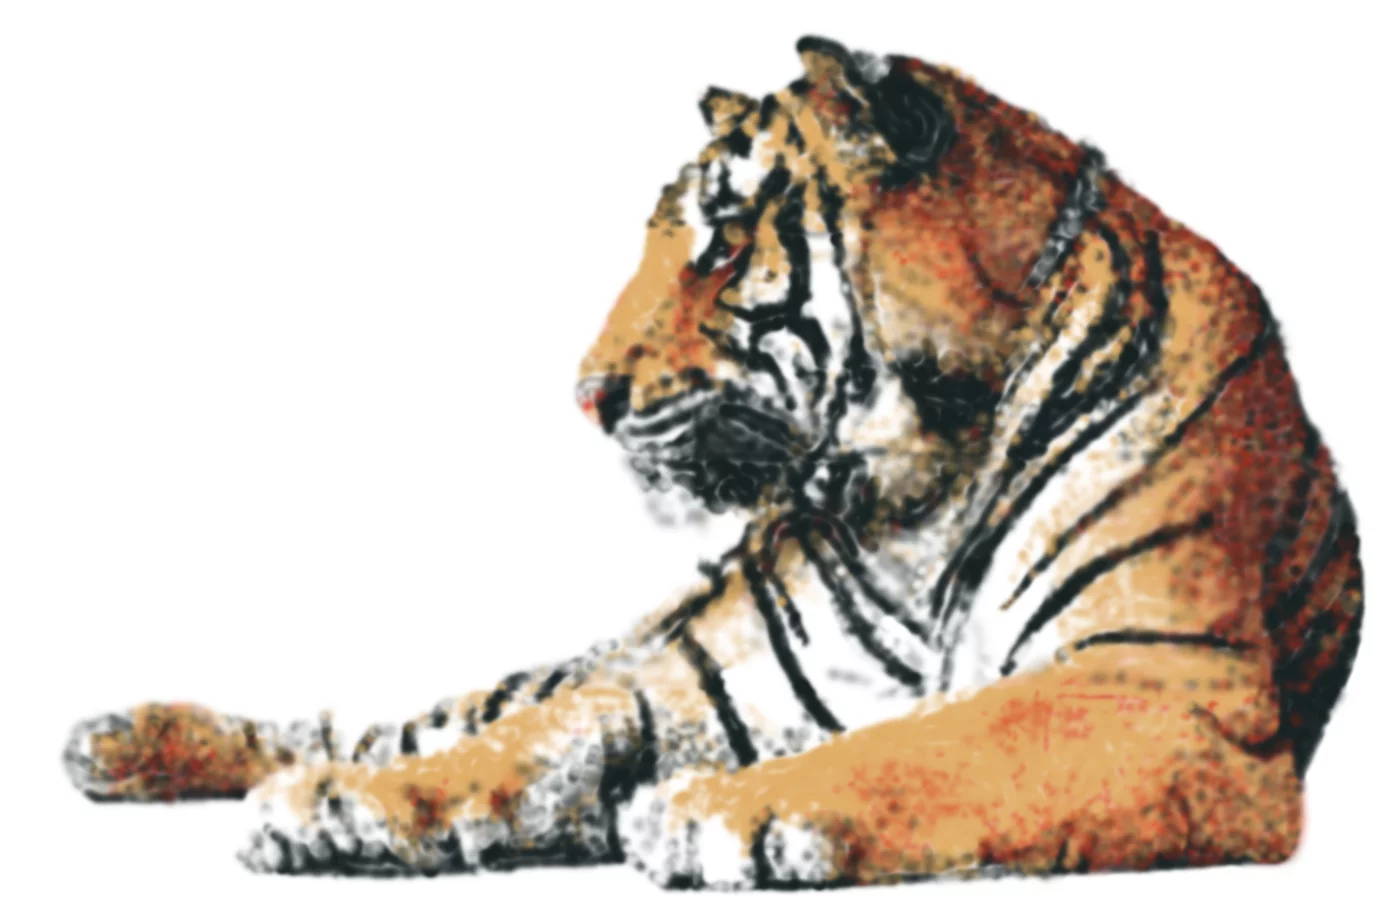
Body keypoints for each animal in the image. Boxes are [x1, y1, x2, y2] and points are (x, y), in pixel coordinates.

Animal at [63, 36, 1363, 888]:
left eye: (724, 244)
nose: (584, 395)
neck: (920, 488)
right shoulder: (697, 679)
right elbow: (523, 745)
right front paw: (344, 811)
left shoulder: (1161, 689)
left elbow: (926, 743)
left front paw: (717, 813)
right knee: (399, 718)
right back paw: (131, 742)